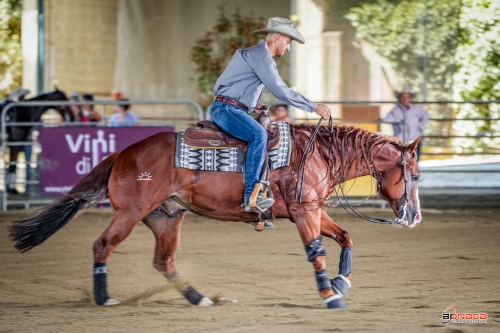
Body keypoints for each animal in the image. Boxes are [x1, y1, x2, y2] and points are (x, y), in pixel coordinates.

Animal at [7, 124, 422, 308]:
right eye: (416, 175)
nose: (415, 217)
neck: (316, 152)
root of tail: (122, 153)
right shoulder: (305, 212)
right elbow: (316, 252)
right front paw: (329, 294)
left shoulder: (314, 211)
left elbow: (346, 238)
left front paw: (341, 283)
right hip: (131, 213)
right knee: (102, 245)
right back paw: (104, 297)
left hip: (167, 217)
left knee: (164, 261)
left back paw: (200, 298)